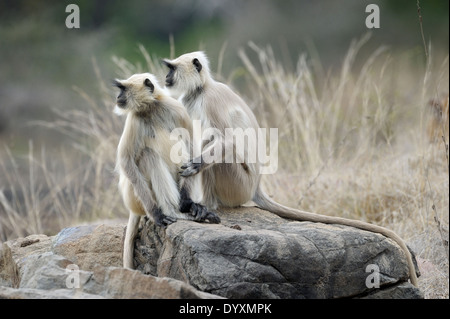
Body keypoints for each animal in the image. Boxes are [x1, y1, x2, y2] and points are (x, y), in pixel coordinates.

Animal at [112, 73, 218, 270]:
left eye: (123, 89)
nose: (118, 97)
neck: (151, 108)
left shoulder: (176, 109)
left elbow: (191, 148)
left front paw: (188, 203)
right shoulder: (134, 119)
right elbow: (127, 162)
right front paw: (157, 214)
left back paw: (188, 207)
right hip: (134, 196)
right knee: (148, 155)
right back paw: (171, 212)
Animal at [162, 51, 418, 286]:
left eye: (171, 69)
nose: (165, 77)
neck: (200, 89)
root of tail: (257, 186)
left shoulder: (211, 100)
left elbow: (228, 141)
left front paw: (195, 165)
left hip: (237, 183)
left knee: (214, 146)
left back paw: (206, 204)